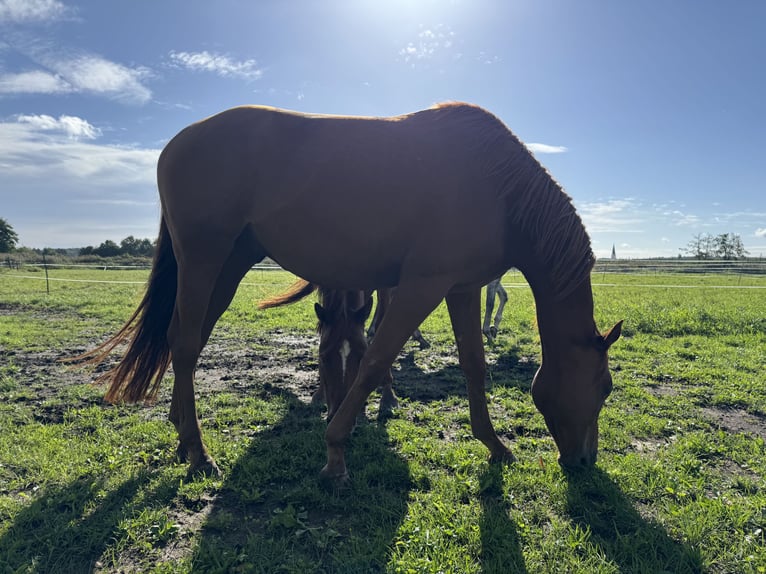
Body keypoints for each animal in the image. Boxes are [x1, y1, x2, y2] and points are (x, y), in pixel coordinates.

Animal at [79, 102, 622, 484]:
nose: (584, 461)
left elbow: (473, 365)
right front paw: (336, 451)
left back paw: (180, 433)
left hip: (228, 266)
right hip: (204, 259)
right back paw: (198, 451)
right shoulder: (420, 287)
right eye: (605, 387)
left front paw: (494, 445)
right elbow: (377, 358)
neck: (499, 188)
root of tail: (177, 143)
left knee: (182, 339)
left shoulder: (462, 288)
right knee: (188, 343)